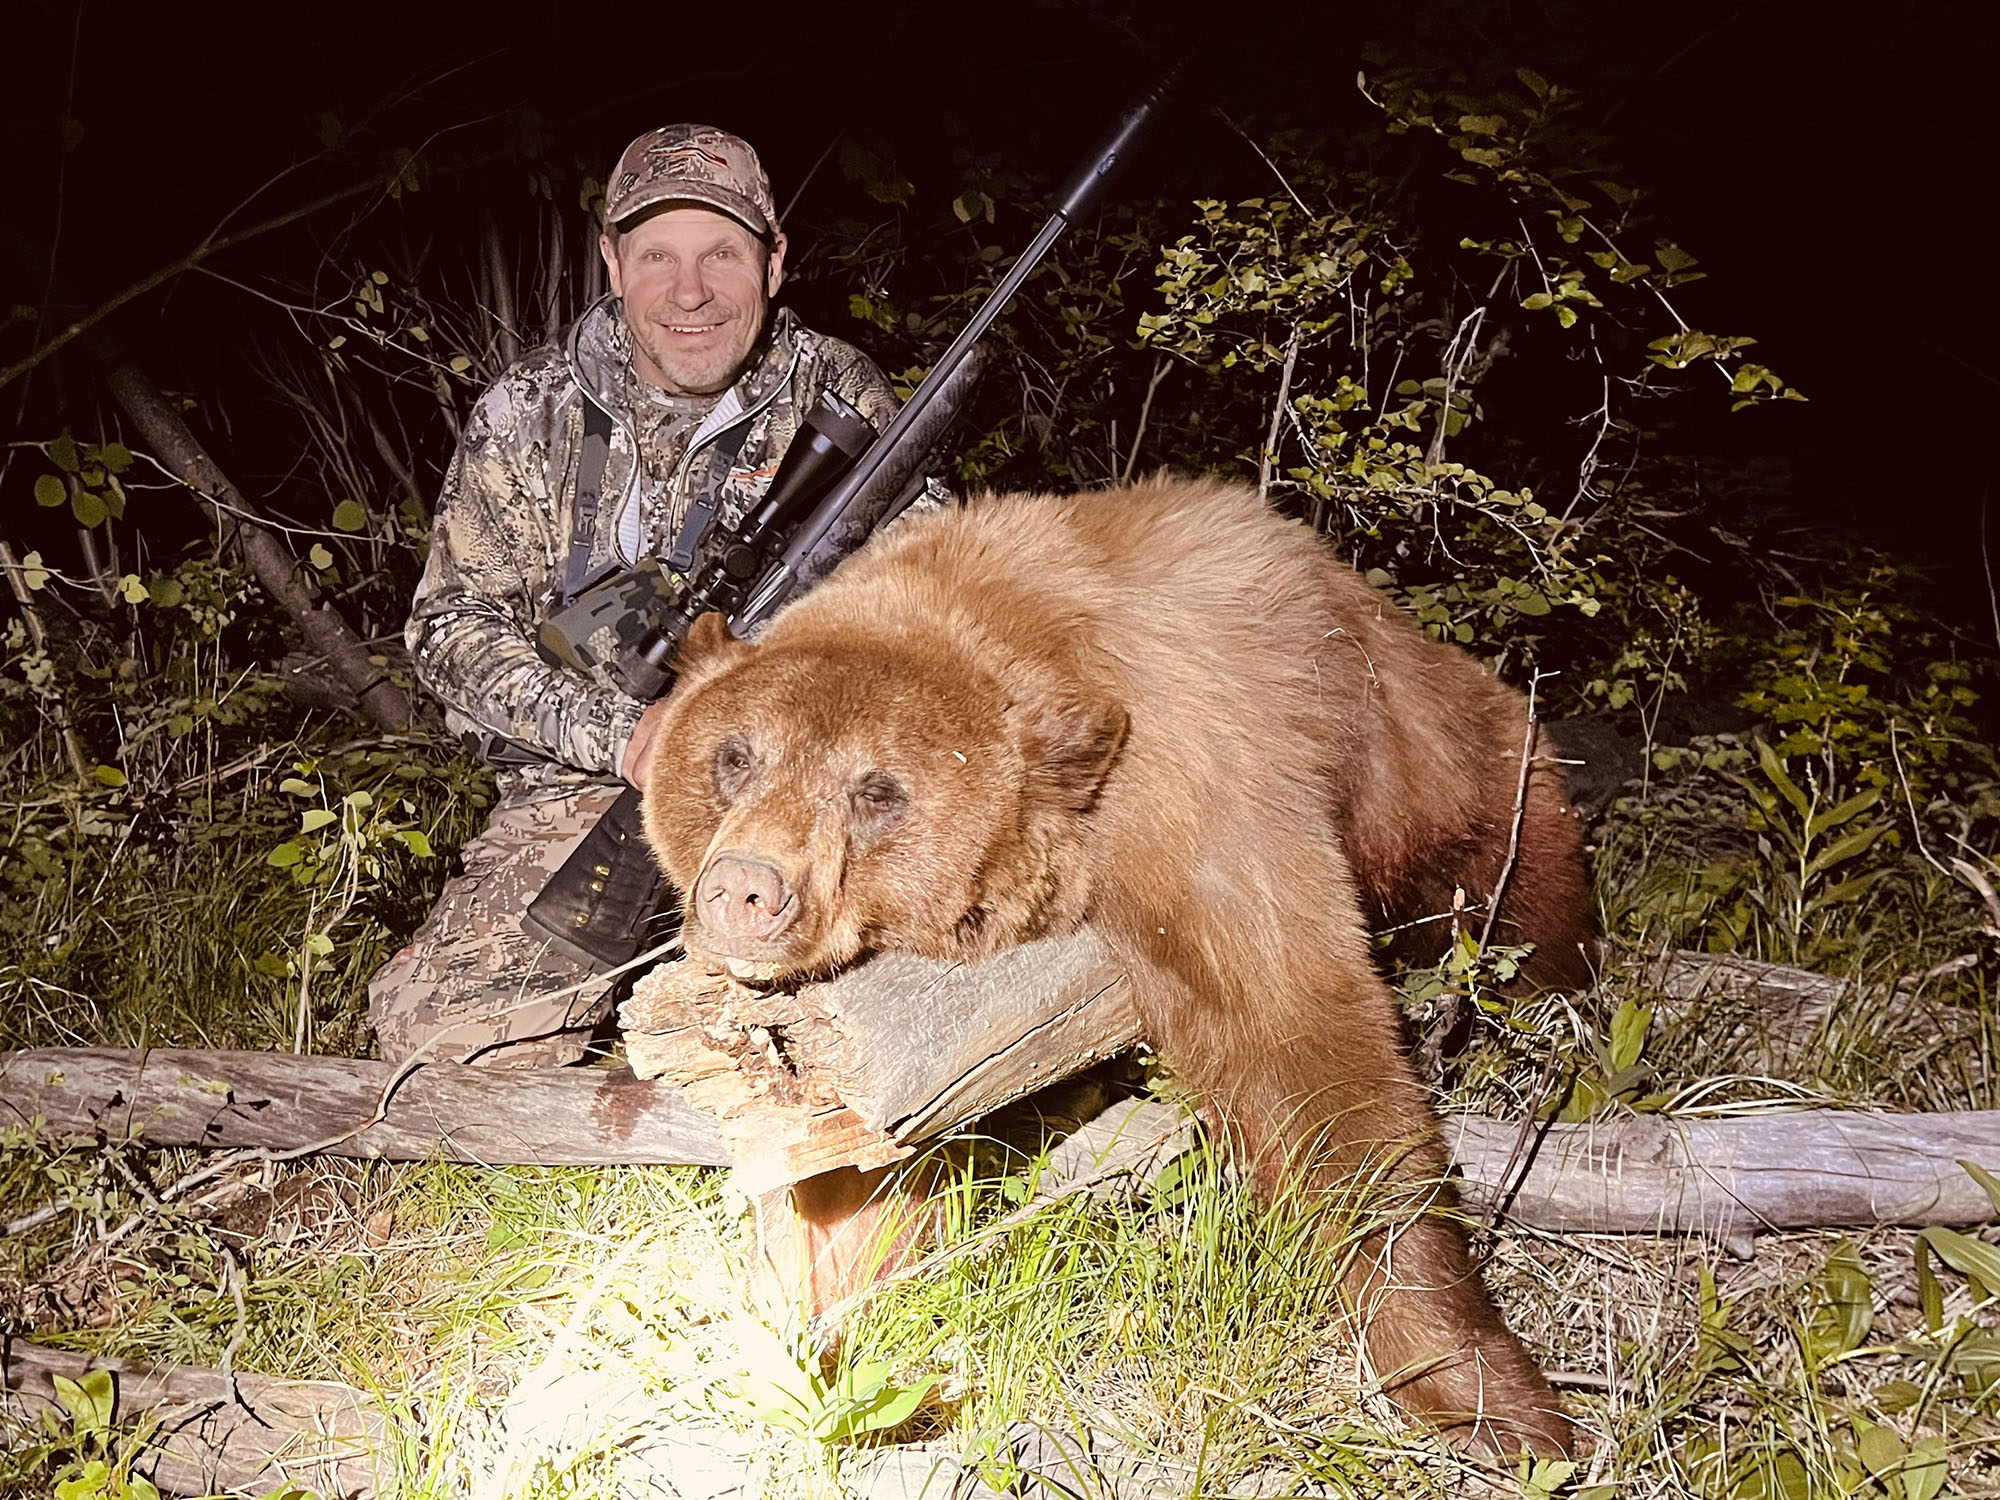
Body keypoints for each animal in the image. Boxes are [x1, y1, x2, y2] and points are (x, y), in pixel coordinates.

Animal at [640, 472, 1594, 1456]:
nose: (745, 888)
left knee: (1532, 899)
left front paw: (1490, 1396)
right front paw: (831, 1331)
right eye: (734, 756)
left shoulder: (1189, 775)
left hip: (1452, 767)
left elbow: (1296, 1036)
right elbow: (848, 1150)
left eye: (878, 792)